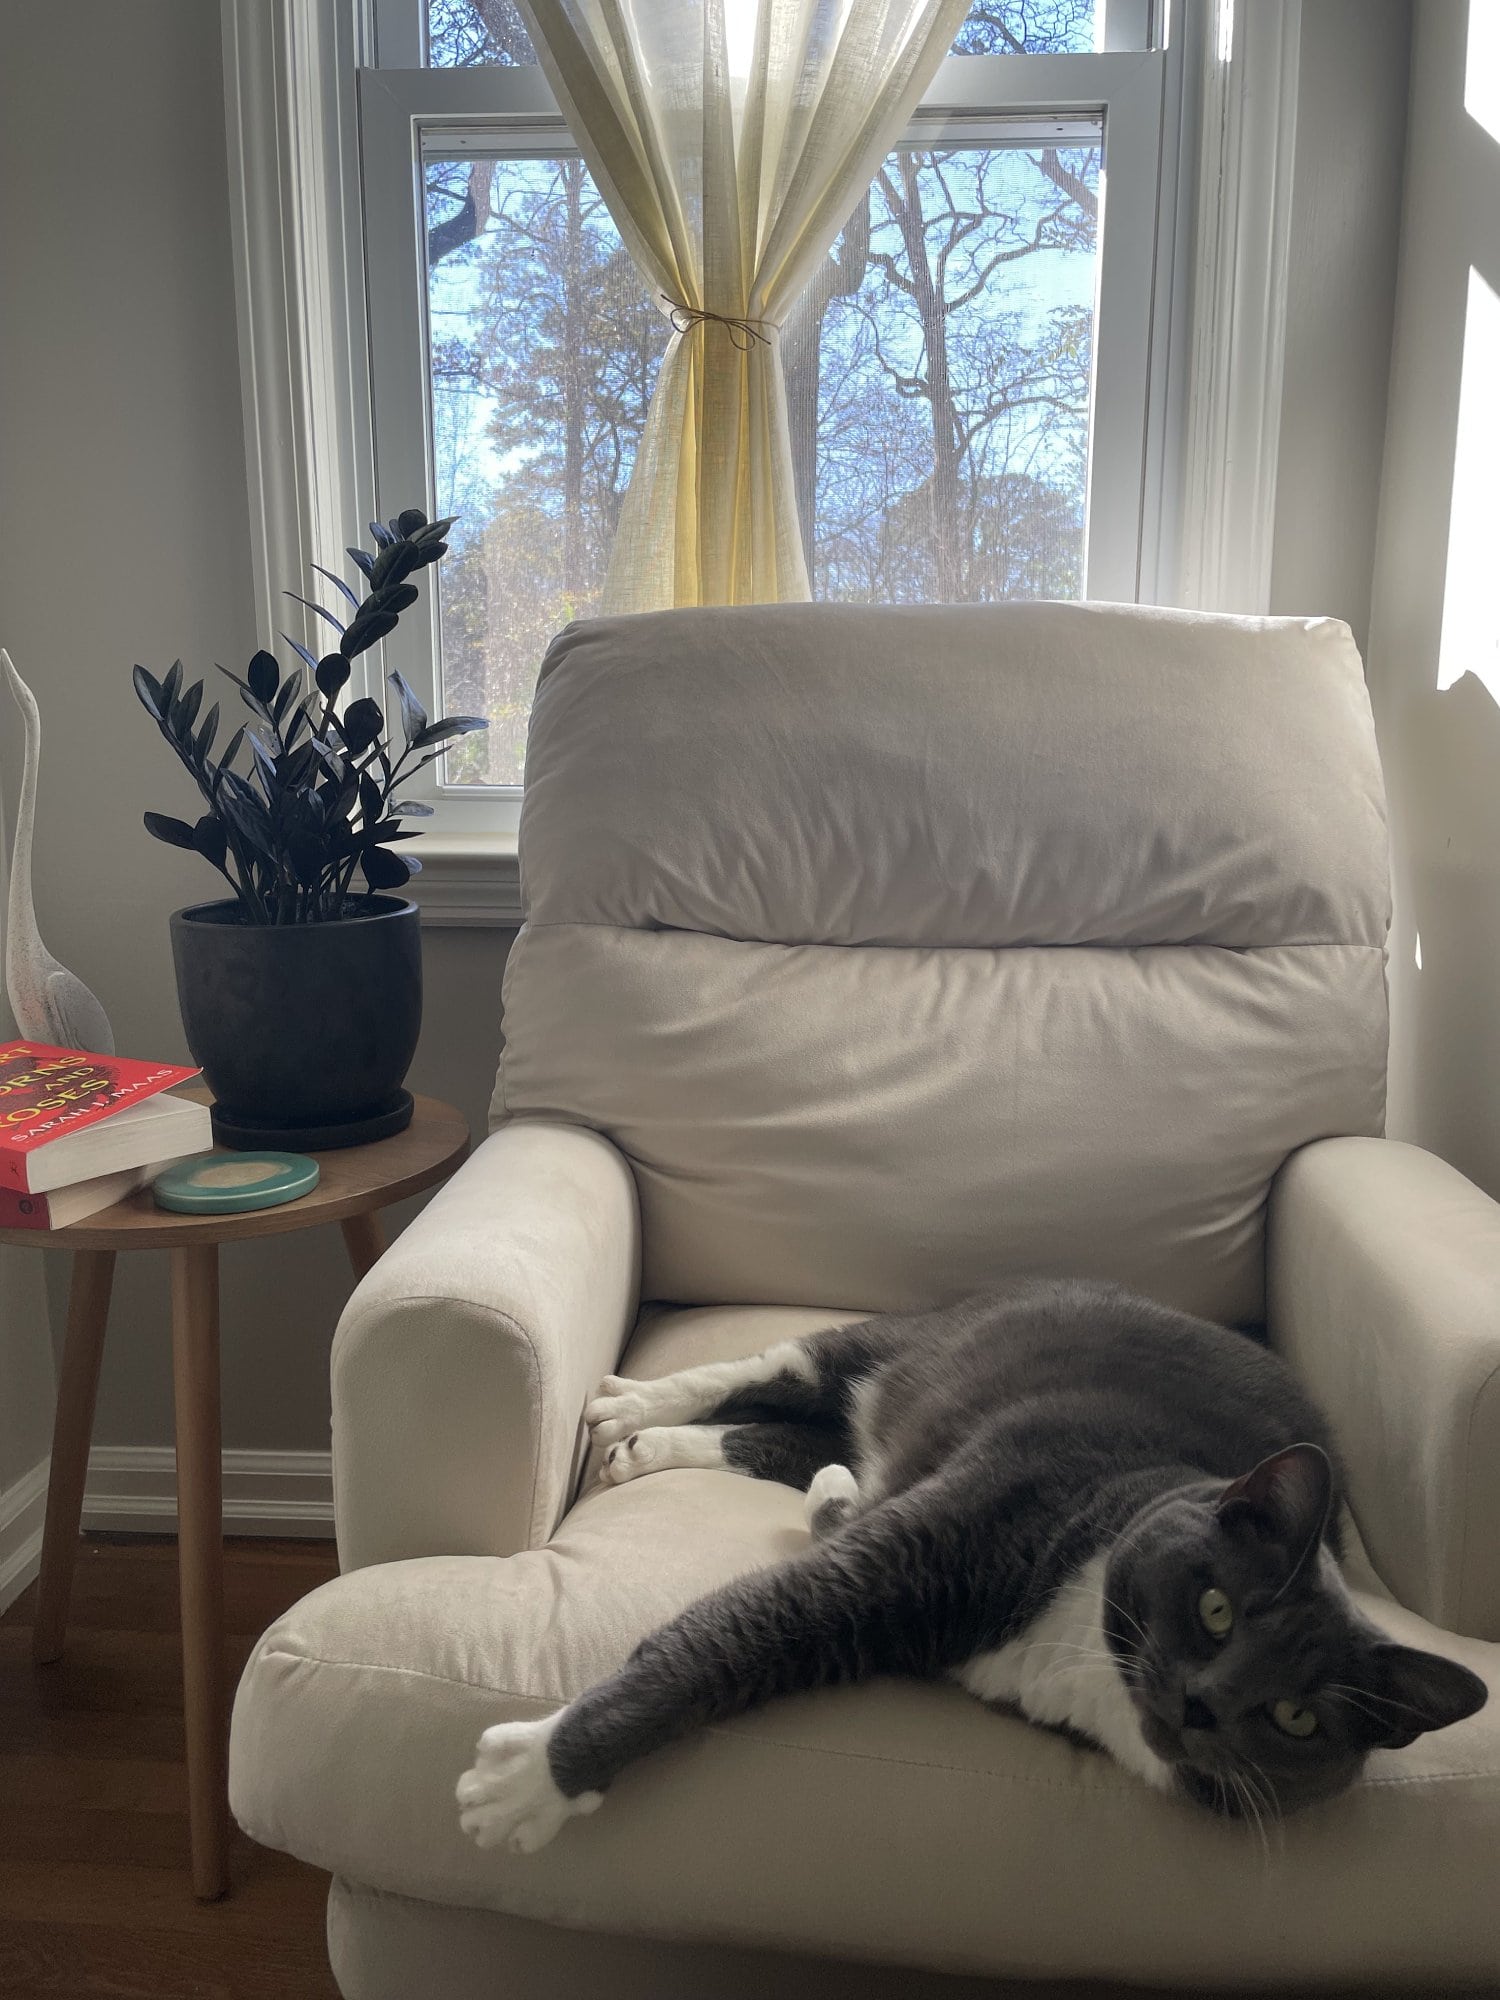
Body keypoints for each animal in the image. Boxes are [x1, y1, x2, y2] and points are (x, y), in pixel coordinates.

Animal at [452, 1288, 1488, 1848]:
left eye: (1296, 1718)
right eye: (1218, 1608)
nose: (1203, 1704)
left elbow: (809, 1544)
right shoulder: (930, 1543)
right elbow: (723, 1637)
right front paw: (537, 1776)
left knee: (786, 1438)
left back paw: (655, 1450)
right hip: (897, 1346)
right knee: (772, 1368)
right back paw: (631, 1410)